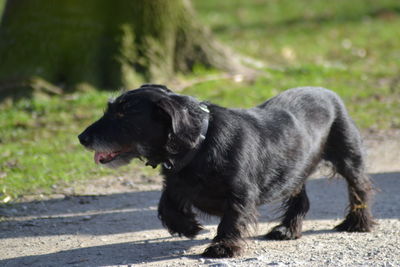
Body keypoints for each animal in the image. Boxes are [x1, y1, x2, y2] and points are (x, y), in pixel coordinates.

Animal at [79, 85, 376, 258]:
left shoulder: (240, 194)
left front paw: (222, 247)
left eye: (123, 114)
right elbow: (166, 205)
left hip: (347, 155)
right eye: (110, 109)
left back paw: (357, 223)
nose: (82, 138)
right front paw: (187, 226)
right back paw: (287, 229)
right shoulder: (175, 183)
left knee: (359, 187)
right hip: (294, 169)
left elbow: (231, 220)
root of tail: (327, 92)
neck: (199, 142)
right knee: (299, 198)